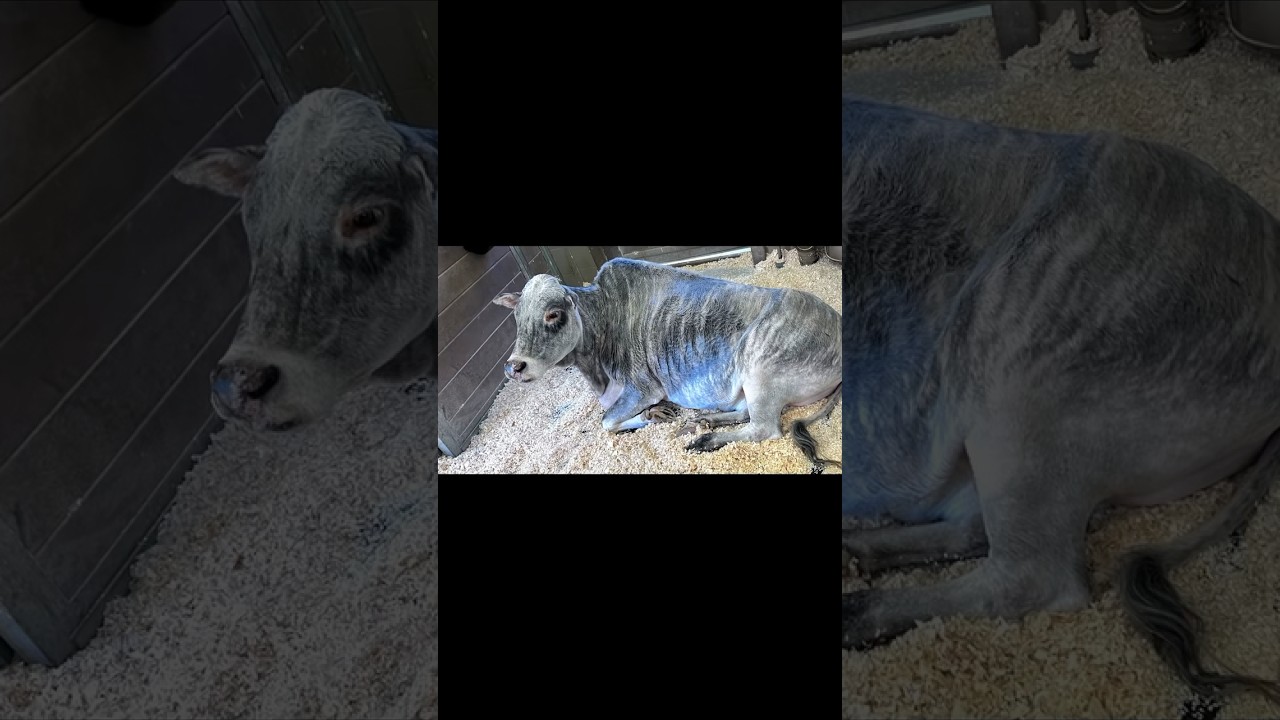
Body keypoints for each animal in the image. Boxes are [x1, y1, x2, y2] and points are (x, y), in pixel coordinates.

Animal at [491, 258, 842, 471]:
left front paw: (648, 418)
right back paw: (705, 420)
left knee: (764, 428)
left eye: (554, 314)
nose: (514, 367)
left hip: (760, 372)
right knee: (744, 414)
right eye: (517, 316)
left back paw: (705, 440)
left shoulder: (644, 387)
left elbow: (606, 421)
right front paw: (656, 416)